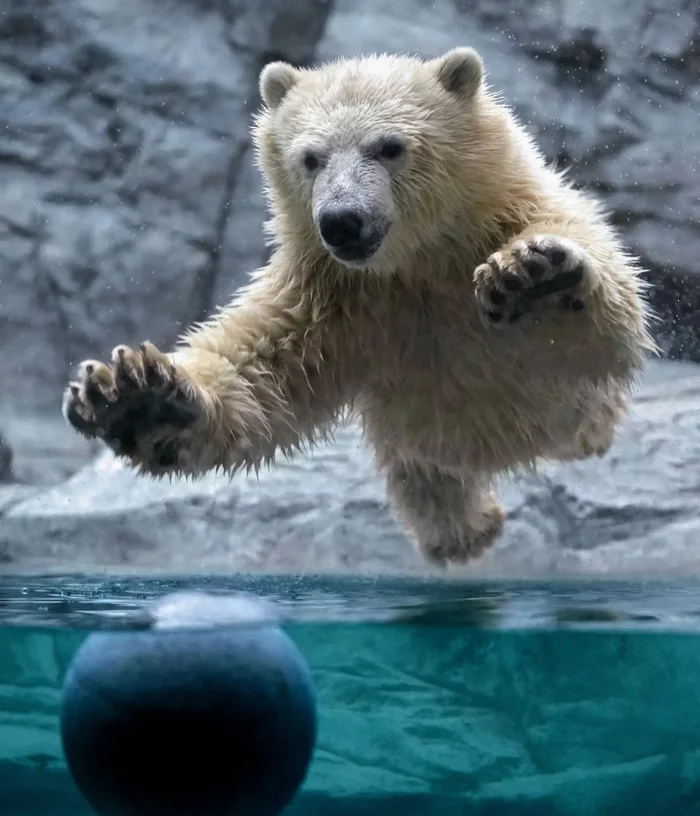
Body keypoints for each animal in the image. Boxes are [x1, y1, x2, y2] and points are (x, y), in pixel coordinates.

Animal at [61, 47, 656, 564]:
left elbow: (612, 325)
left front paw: (534, 279)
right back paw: (464, 534)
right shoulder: (330, 301)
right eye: (311, 157)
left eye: (389, 146)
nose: (342, 220)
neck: (417, 267)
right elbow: (257, 370)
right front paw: (136, 398)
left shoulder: (519, 215)